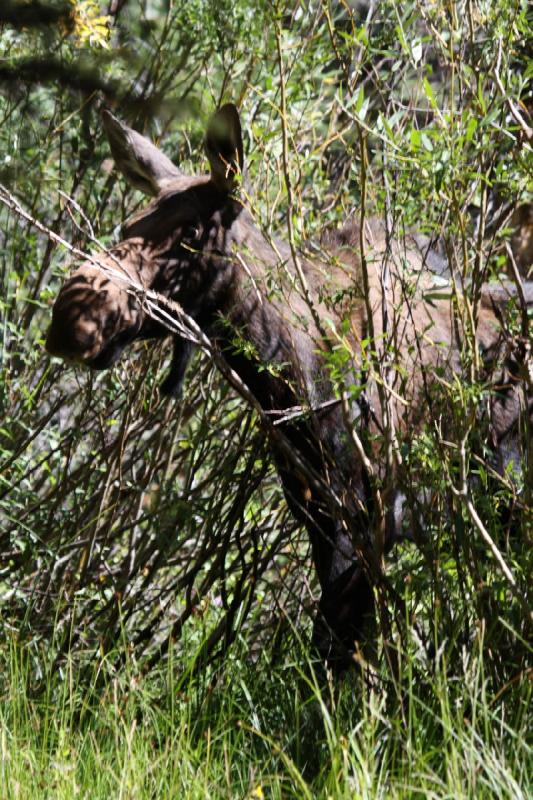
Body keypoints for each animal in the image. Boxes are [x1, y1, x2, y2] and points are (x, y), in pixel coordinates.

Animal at [47, 104, 528, 668]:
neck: (288, 378)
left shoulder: (366, 521)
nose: (72, 321)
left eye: (192, 234)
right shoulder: (319, 516)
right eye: (127, 225)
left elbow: (334, 656)